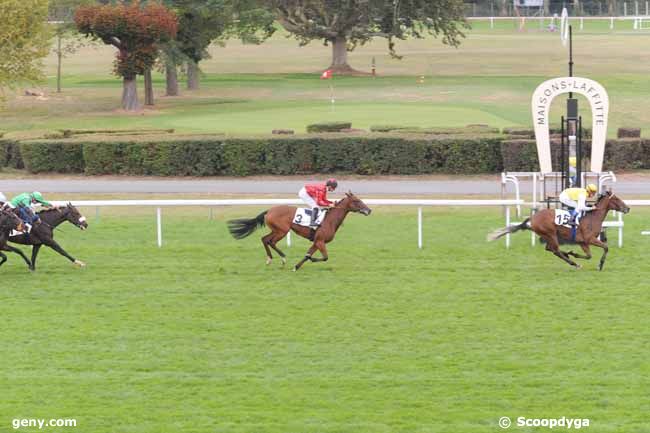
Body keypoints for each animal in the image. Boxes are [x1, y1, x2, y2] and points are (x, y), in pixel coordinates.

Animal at [227, 192, 370, 270]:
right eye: (356, 200)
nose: (369, 210)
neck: (329, 219)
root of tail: (269, 210)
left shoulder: (317, 241)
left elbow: (308, 255)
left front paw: (296, 267)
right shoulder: (320, 241)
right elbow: (325, 257)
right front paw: (311, 260)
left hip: (277, 230)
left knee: (264, 239)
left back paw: (270, 259)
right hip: (282, 231)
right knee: (270, 241)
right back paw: (282, 258)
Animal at [486, 191, 628, 268]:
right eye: (616, 199)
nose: (627, 208)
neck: (593, 217)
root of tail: (532, 218)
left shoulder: (583, 242)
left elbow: (589, 256)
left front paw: (573, 253)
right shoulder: (590, 239)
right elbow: (606, 247)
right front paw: (600, 264)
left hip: (549, 236)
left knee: (551, 249)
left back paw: (568, 255)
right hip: (550, 233)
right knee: (555, 250)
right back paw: (574, 263)